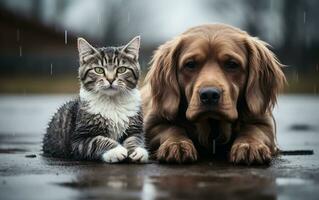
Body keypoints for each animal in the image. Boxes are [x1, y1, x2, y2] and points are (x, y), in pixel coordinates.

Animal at [142, 23, 288, 164]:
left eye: (232, 64)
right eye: (190, 64)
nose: (209, 95)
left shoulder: (264, 122)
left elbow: (252, 130)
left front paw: (249, 146)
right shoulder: (153, 123)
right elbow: (172, 129)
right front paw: (177, 144)